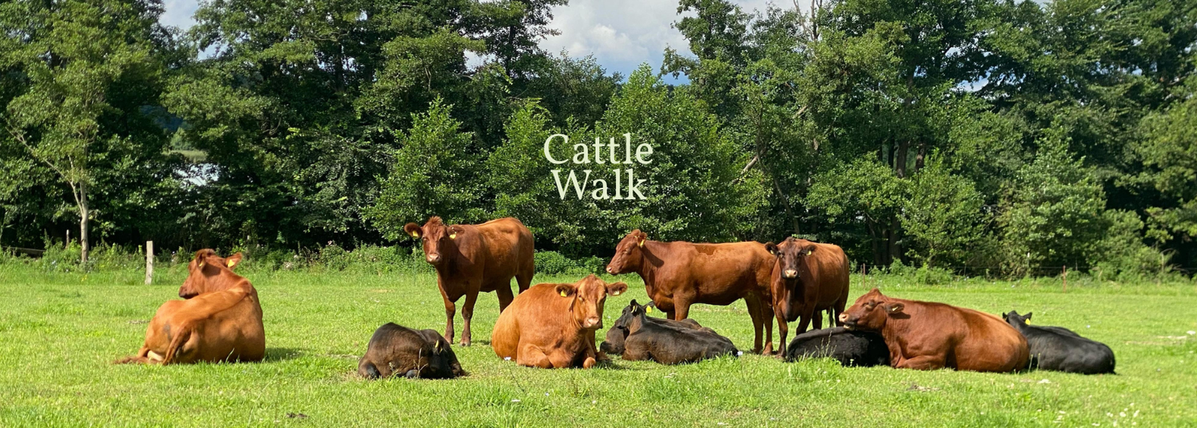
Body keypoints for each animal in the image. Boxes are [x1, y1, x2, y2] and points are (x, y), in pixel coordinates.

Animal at [404, 216, 535, 346]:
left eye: (442, 238)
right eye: (424, 238)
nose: (434, 257)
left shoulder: (474, 284)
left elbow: (466, 311)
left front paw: (465, 339)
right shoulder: (441, 285)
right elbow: (450, 310)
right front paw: (448, 337)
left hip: (525, 272)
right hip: (502, 278)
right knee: (505, 301)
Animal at [491, 275, 627, 368]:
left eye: (603, 297)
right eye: (580, 296)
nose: (593, 321)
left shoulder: (587, 346)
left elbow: (590, 361)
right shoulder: (525, 347)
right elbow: (544, 361)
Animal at [605, 229, 777, 353]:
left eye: (627, 250)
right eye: (617, 248)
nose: (609, 268)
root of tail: (762, 247)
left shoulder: (683, 297)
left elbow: (680, 319)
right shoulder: (668, 301)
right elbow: (671, 320)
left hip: (765, 293)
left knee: (768, 318)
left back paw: (767, 350)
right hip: (751, 295)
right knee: (757, 319)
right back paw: (756, 348)